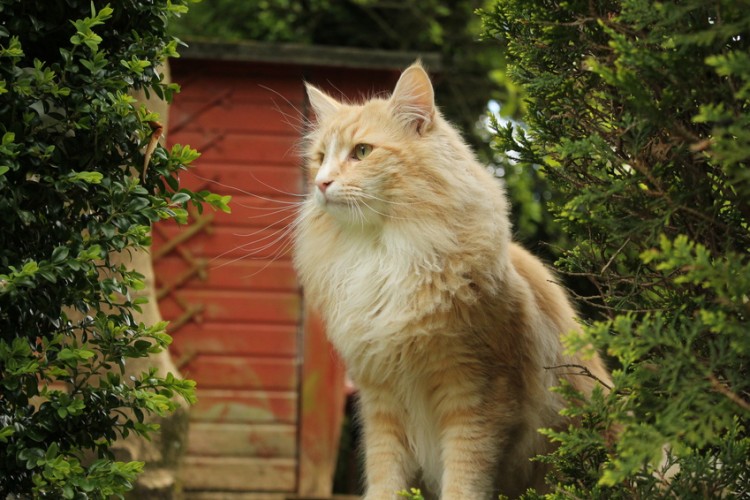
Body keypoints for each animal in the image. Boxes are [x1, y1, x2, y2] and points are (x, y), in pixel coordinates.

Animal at [290, 63, 612, 500]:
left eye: (362, 152)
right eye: (321, 158)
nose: (321, 183)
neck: (381, 254)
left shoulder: (475, 395)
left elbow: (463, 480)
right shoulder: (381, 402)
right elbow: (384, 479)